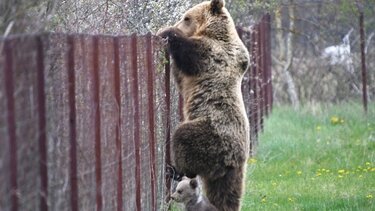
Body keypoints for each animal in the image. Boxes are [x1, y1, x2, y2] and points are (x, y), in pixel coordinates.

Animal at [157, 0, 251, 210]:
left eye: (186, 17)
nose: (177, 23)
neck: (216, 32)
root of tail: (234, 161)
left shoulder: (215, 55)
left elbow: (189, 52)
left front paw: (164, 31)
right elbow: (180, 76)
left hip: (213, 134)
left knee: (184, 137)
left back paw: (175, 169)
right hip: (225, 170)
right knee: (225, 191)